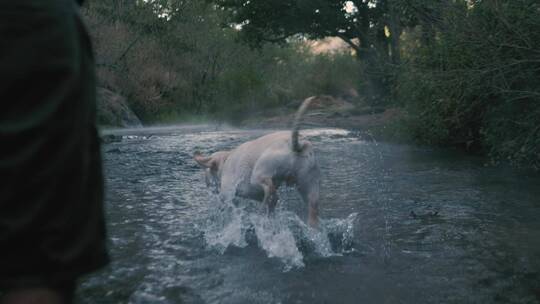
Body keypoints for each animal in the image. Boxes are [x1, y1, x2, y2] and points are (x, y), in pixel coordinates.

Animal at [194, 96, 320, 227]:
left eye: (207, 171)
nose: (207, 185)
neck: (225, 160)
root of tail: (296, 145)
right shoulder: (253, 192)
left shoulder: (227, 192)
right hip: (309, 185)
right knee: (310, 206)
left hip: (259, 173)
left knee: (271, 191)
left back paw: (262, 210)